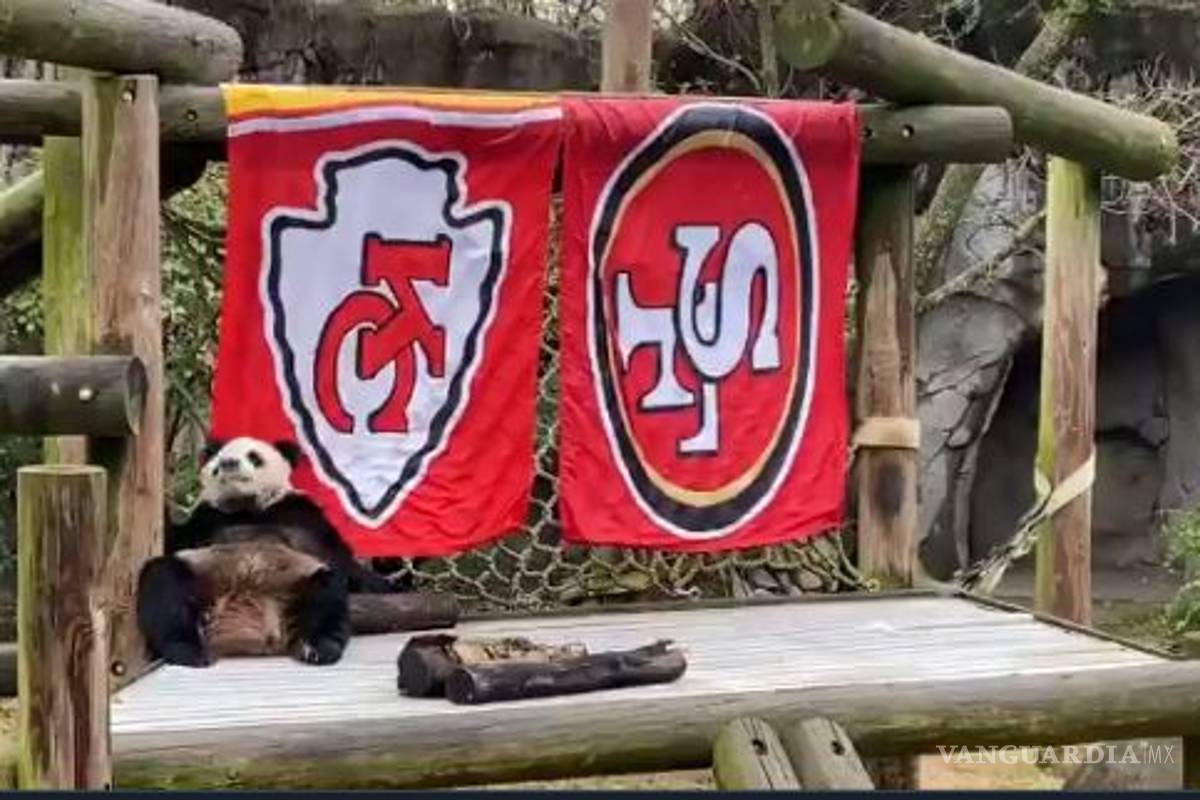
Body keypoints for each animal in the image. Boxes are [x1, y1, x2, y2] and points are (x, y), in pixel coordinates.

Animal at [136, 436, 397, 668]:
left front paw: (383, 582)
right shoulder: (206, 519)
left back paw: (319, 648)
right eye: (218, 460)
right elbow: (177, 540)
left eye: (254, 456)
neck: (246, 506)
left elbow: (340, 556)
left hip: (296, 582)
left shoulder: (300, 512)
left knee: (327, 595)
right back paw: (189, 650)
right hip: (203, 577)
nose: (228, 462)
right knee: (164, 583)